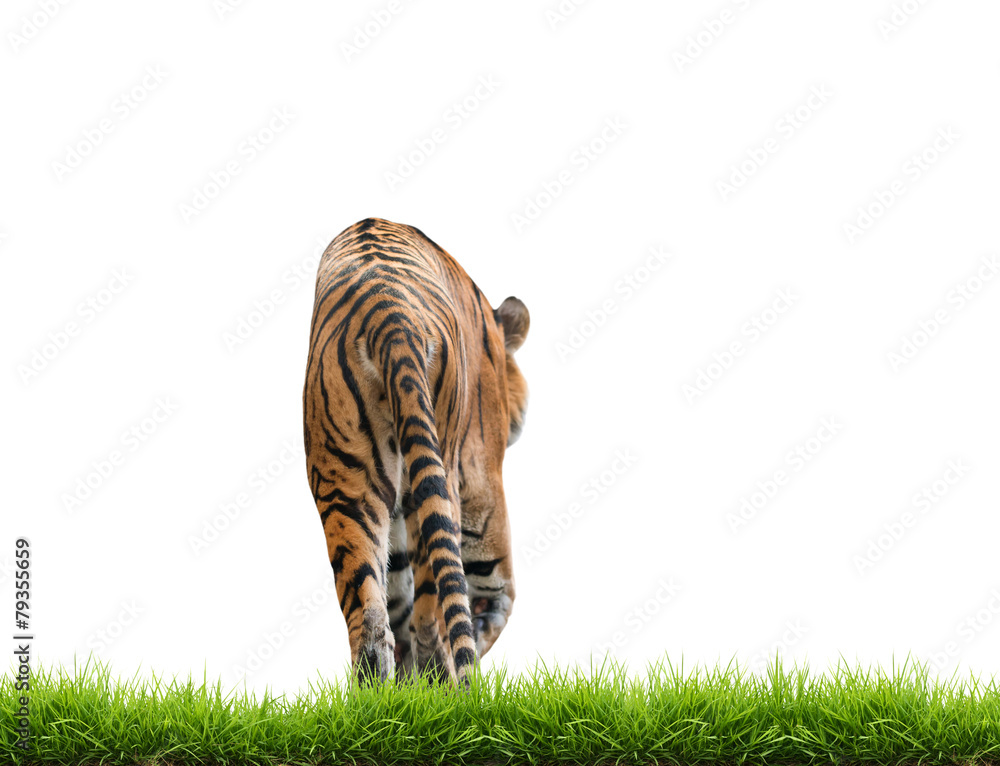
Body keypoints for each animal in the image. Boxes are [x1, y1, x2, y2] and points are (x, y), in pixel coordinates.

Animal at [302, 217, 529, 684]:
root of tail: (387, 314)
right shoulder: (481, 480)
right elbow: (496, 595)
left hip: (343, 481)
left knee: (370, 619)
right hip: (442, 478)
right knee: (432, 602)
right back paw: (438, 677)